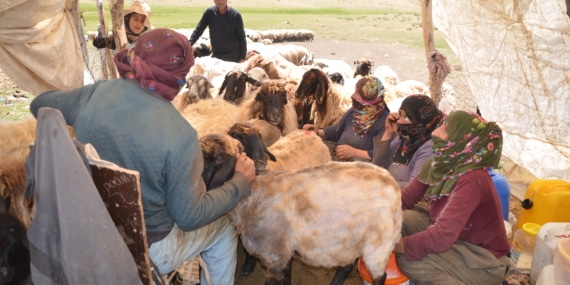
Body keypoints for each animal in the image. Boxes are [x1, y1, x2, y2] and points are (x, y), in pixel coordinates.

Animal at [197, 134, 402, 284]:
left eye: (218, 160)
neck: (256, 192)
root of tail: (391, 180)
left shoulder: (275, 256)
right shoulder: (285, 255)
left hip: (378, 245)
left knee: (380, 276)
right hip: (350, 241)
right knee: (345, 267)